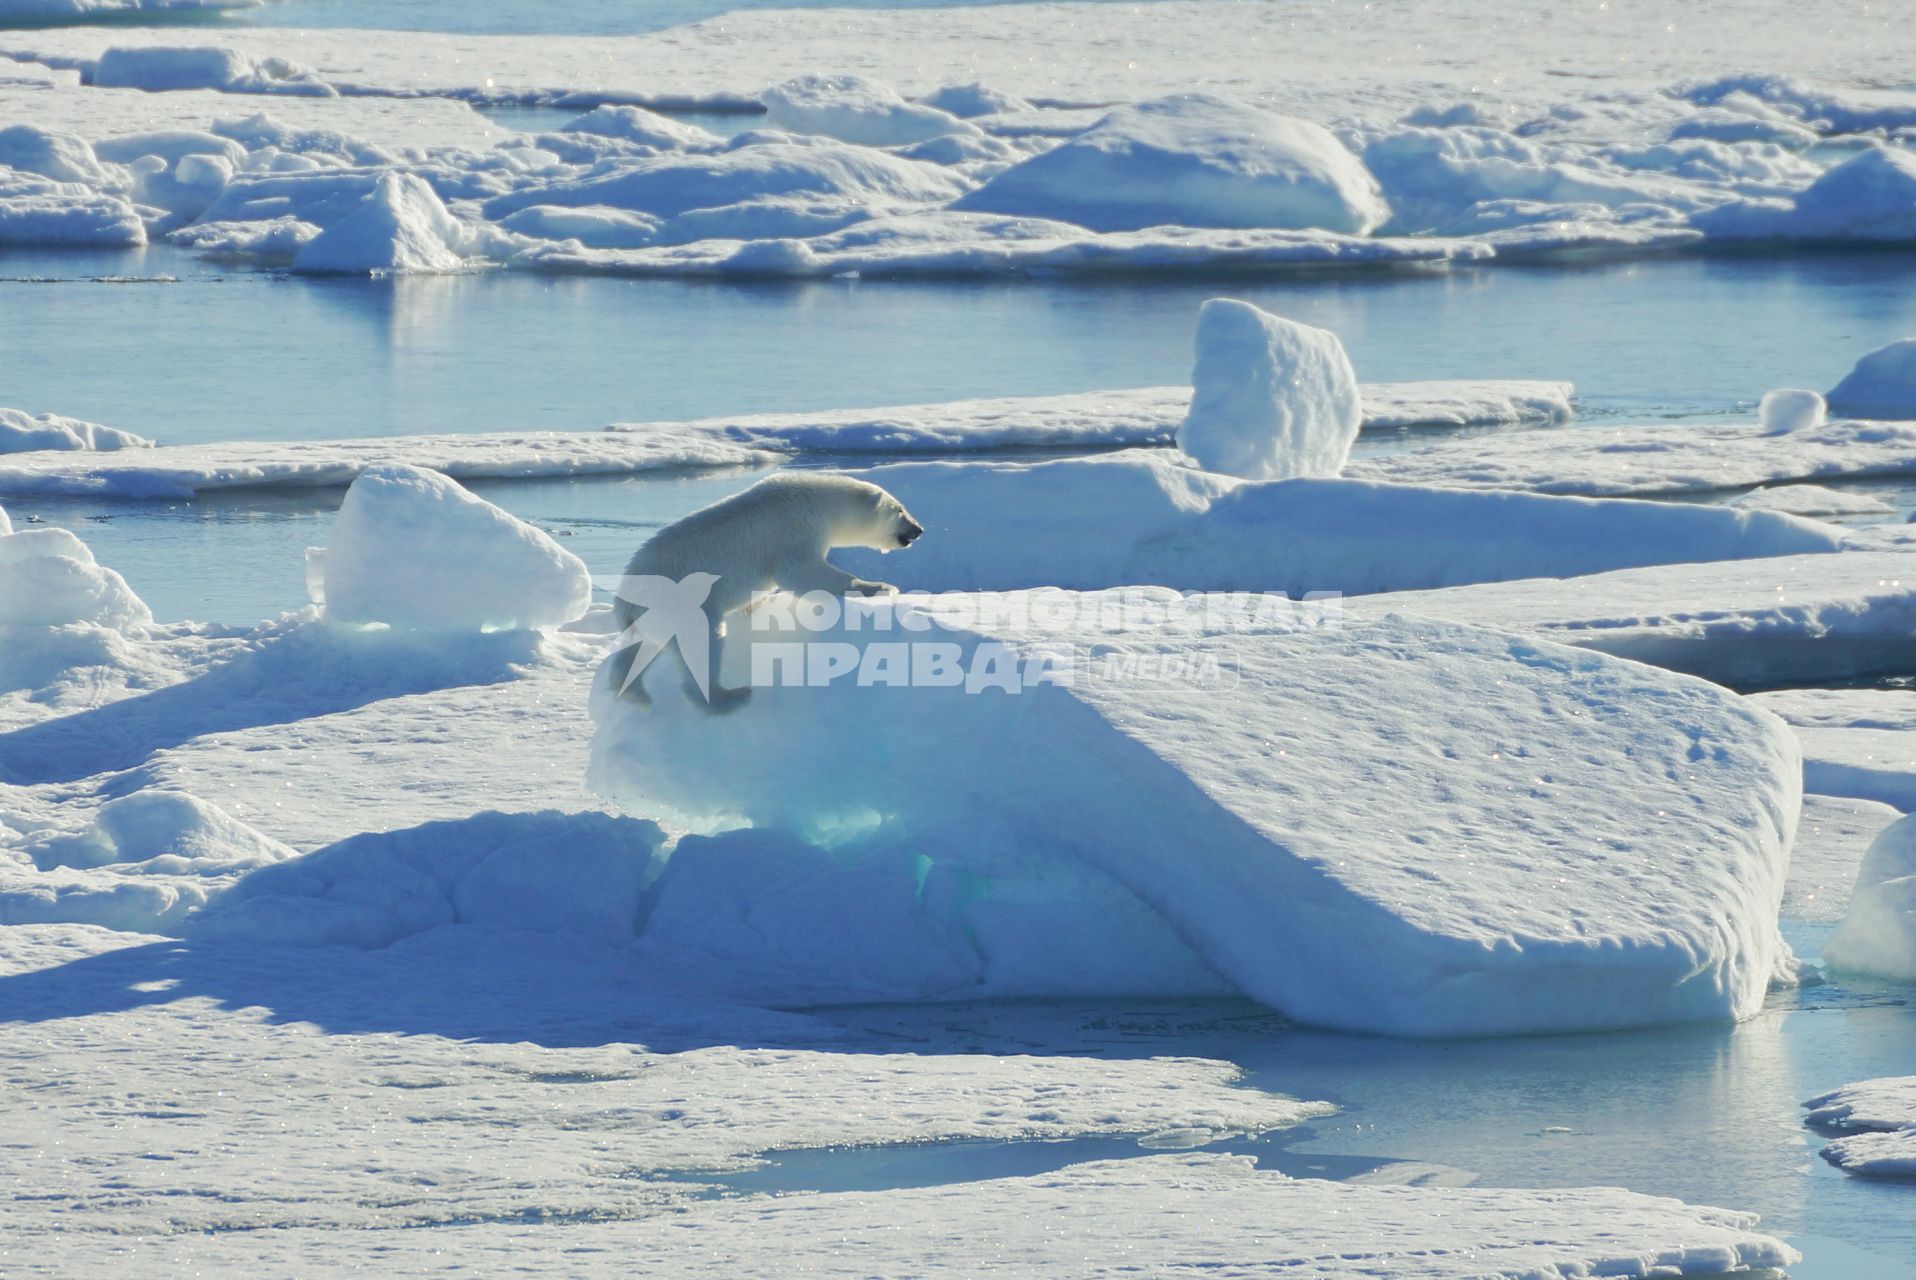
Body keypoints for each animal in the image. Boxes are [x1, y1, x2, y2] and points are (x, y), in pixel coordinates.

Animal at [609, 469, 915, 708]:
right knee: (702, 642)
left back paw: (633, 691)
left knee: (639, 649)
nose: (918, 529)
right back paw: (729, 697)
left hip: (650, 617)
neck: (817, 501)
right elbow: (804, 573)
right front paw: (879, 587)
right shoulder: (794, 530)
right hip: (679, 600)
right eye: (900, 510)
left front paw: (753, 607)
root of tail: (625, 601)